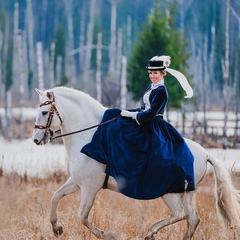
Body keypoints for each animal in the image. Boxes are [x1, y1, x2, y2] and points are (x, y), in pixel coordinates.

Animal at [32, 86, 240, 240]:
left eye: (44, 111)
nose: (36, 140)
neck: (89, 135)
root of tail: (205, 154)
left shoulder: (90, 186)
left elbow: (82, 216)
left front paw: (109, 235)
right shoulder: (77, 182)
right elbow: (55, 196)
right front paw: (57, 228)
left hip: (170, 193)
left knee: (180, 214)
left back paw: (150, 232)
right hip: (186, 193)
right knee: (192, 218)